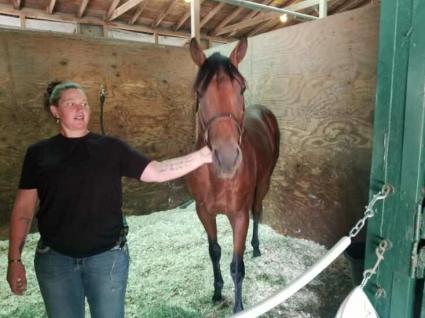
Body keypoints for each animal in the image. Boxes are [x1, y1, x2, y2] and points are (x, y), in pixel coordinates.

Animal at [185, 38, 278, 314]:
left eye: (242, 89)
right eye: (199, 92)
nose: (226, 157)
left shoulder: (239, 216)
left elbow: (237, 265)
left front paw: (238, 307)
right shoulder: (204, 212)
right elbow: (214, 251)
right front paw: (217, 293)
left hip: (263, 183)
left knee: (258, 211)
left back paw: (256, 248)